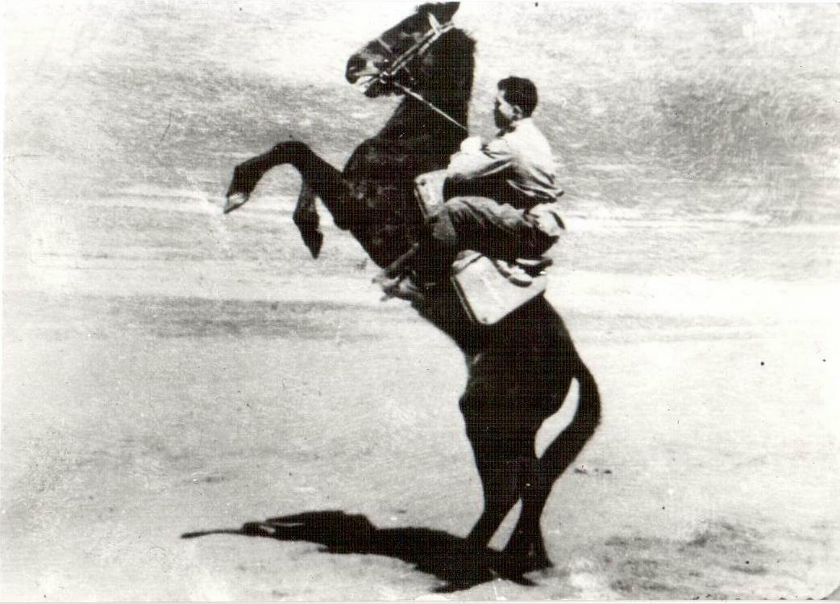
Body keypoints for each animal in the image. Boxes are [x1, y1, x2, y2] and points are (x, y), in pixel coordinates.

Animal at [224, 1, 601, 575]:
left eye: (408, 26)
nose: (354, 65)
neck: (416, 142)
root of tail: (570, 361)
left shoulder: (357, 204)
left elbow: (297, 150)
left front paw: (240, 189)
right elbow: (306, 168)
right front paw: (308, 228)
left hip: (487, 417)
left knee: (510, 486)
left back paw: (467, 559)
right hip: (516, 426)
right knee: (534, 479)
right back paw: (521, 556)